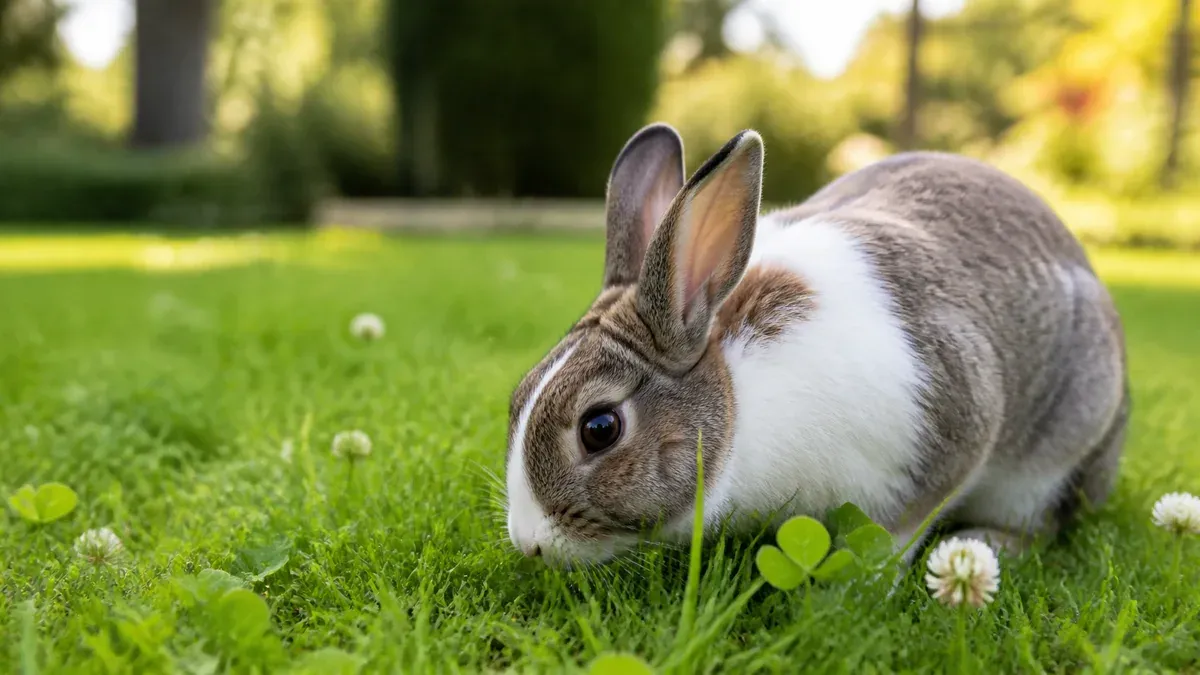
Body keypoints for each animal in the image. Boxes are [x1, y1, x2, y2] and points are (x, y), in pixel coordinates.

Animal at [504, 123, 1128, 567]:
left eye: (600, 428)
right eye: (518, 397)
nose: (530, 543)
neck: (739, 398)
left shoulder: (954, 425)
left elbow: (897, 534)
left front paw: (864, 585)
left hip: (1048, 464)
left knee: (1040, 525)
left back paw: (984, 545)